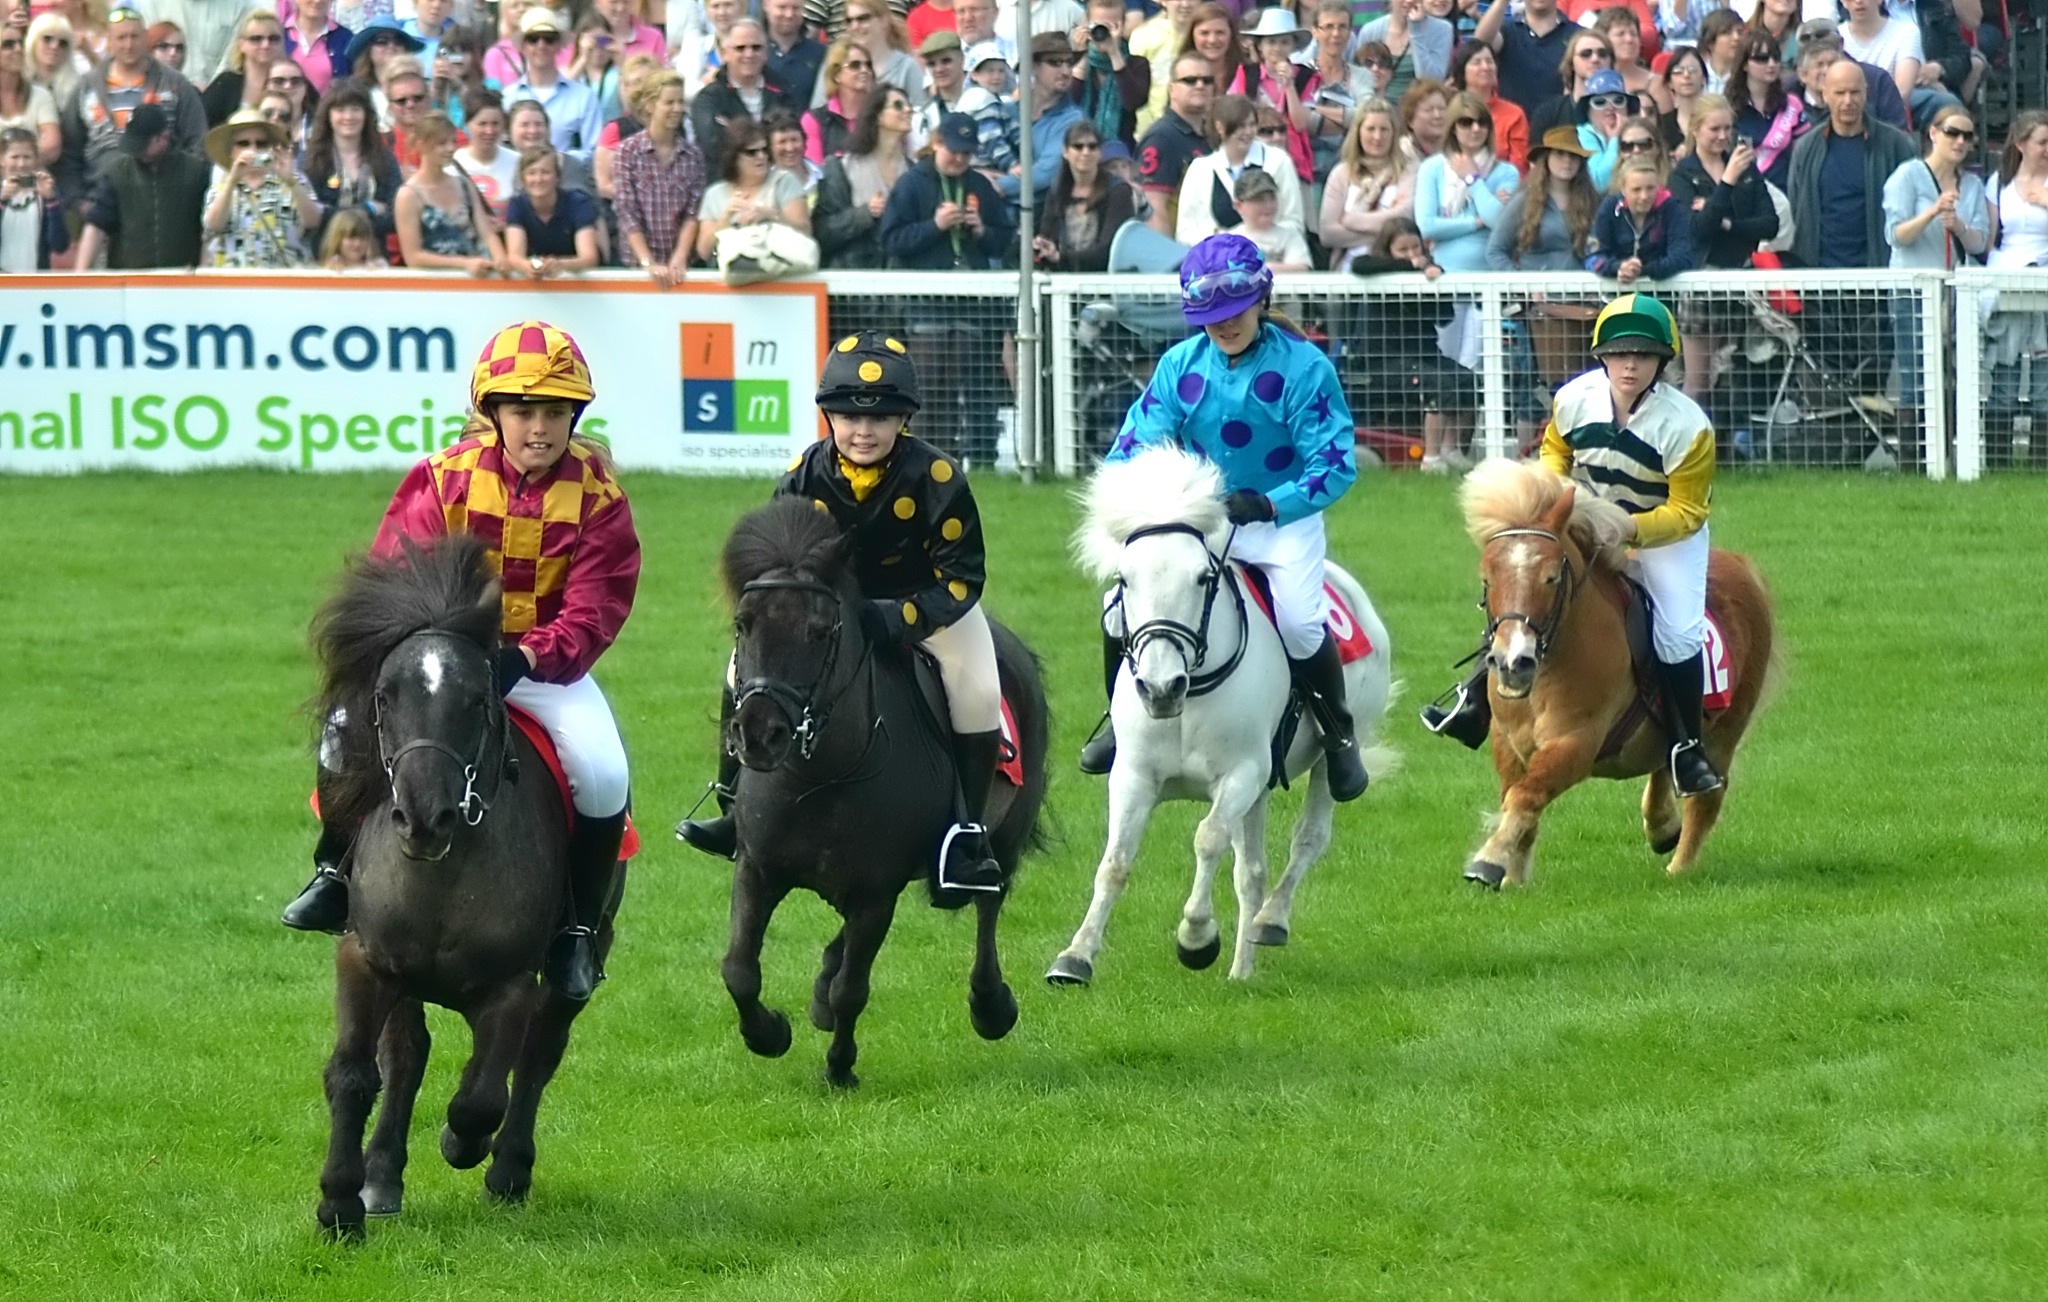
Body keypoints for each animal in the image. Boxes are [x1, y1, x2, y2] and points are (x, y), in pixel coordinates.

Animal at [299, 540, 610, 1244]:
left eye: (475, 700)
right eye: (384, 697)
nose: (423, 817)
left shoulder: (511, 986)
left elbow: (481, 1098)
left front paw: (462, 1144)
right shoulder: (366, 961)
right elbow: (354, 1075)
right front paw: (340, 1201)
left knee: (538, 1054)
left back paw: (508, 1168)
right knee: (407, 1056)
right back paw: (382, 1178)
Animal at [712, 497, 1048, 1089]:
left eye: (819, 631)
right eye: (742, 623)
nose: (758, 734)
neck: (821, 777)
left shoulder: (876, 892)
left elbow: (854, 988)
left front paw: (840, 1067)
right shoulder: (756, 869)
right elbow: (740, 969)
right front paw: (768, 1033)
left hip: (1003, 839)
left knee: (990, 902)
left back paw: (991, 1005)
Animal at [1048, 442, 1400, 982]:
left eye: (1203, 577)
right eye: (1124, 578)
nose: (1159, 687)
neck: (1191, 696)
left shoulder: (1241, 774)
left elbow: (1207, 838)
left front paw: (1195, 938)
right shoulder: (1133, 776)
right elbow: (1115, 862)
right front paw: (1076, 956)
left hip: (1320, 763)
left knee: (1307, 840)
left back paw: (1270, 921)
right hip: (1258, 793)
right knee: (1250, 872)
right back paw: (1242, 969)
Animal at [1458, 458, 1777, 884]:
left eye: (1551, 577)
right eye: (1487, 578)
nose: (1513, 662)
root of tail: (1741, 566)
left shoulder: (1575, 743)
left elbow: (1527, 795)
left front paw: (1489, 861)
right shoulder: (1507, 743)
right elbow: (1516, 799)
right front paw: (1514, 877)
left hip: (1727, 728)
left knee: (1707, 796)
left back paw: (1678, 868)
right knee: (1665, 763)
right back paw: (1662, 827)